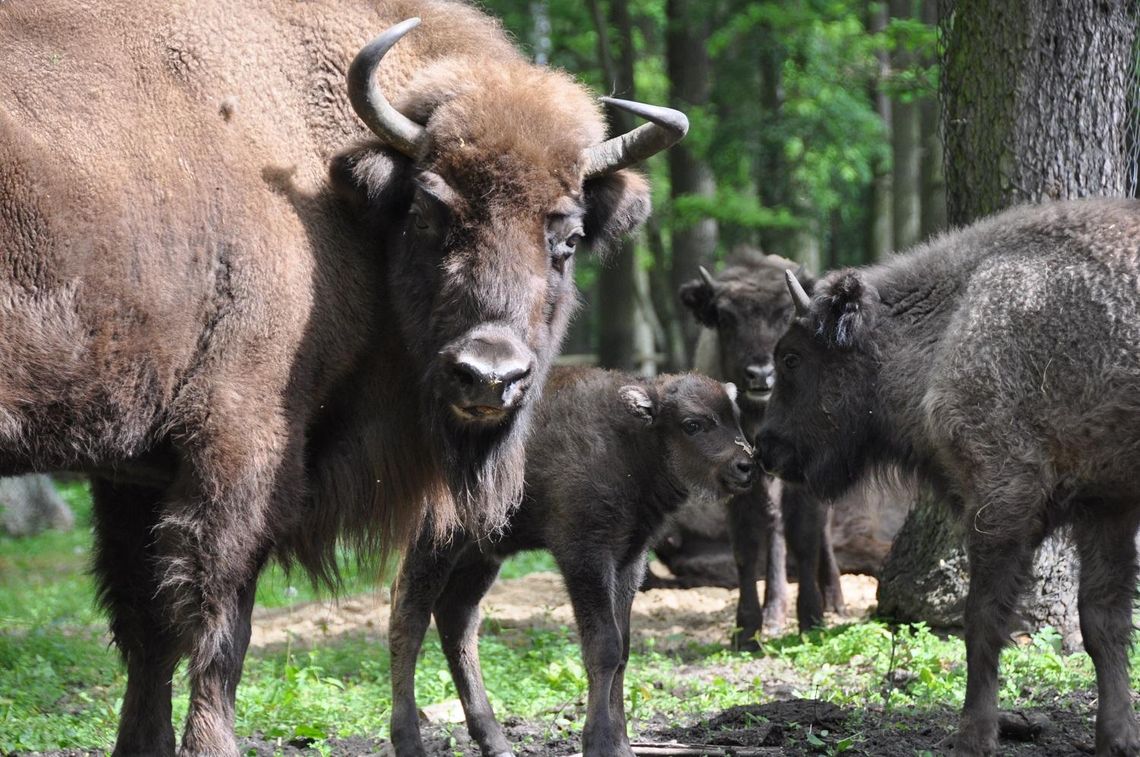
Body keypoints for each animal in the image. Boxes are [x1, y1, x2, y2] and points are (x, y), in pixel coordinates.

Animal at [0, 2, 684, 752]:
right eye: (428, 213)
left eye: (567, 239)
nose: (488, 375)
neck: (335, 198)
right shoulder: (239, 447)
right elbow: (218, 624)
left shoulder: (133, 470)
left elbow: (146, 629)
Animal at [387, 367, 752, 756]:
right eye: (692, 424)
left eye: (735, 417)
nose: (746, 465)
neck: (631, 440)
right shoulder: (584, 554)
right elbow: (604, 646)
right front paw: (598, 742)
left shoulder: (629, 559)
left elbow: (623, 650)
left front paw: (622, 745)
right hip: (435, 542)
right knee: (408, 619)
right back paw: (410, 743)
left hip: (481, 555)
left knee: (457, 620)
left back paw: (496, 742)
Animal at [674, 253, 848, 642]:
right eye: (725, 318)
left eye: (786, 315)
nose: (761, 374)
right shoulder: (738, 474)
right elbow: (747, 542)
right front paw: (747, 628)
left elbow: (805, 535)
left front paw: (811, 618)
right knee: (774, 524)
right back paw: (773, 610)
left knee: (819, 525)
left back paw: (834, 599)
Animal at [756, 200, 1140, 756]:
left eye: (791, 356)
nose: (765, 446)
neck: (953, 320)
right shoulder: (1107, 504)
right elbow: (1103, 620)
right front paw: (1118, 737)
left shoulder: (1002, 496)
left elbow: (983, 618)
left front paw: (973, 735)